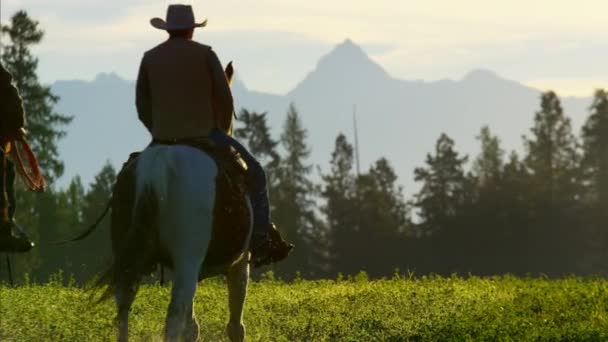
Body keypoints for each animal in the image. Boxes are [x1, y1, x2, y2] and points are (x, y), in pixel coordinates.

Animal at [98, 144, 251, 342]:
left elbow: (192, 326)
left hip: (129, 261)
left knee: (123, 308)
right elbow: (235, 326)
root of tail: (159, 160)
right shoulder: (240, 262)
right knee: (174, 316)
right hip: (187, 263)